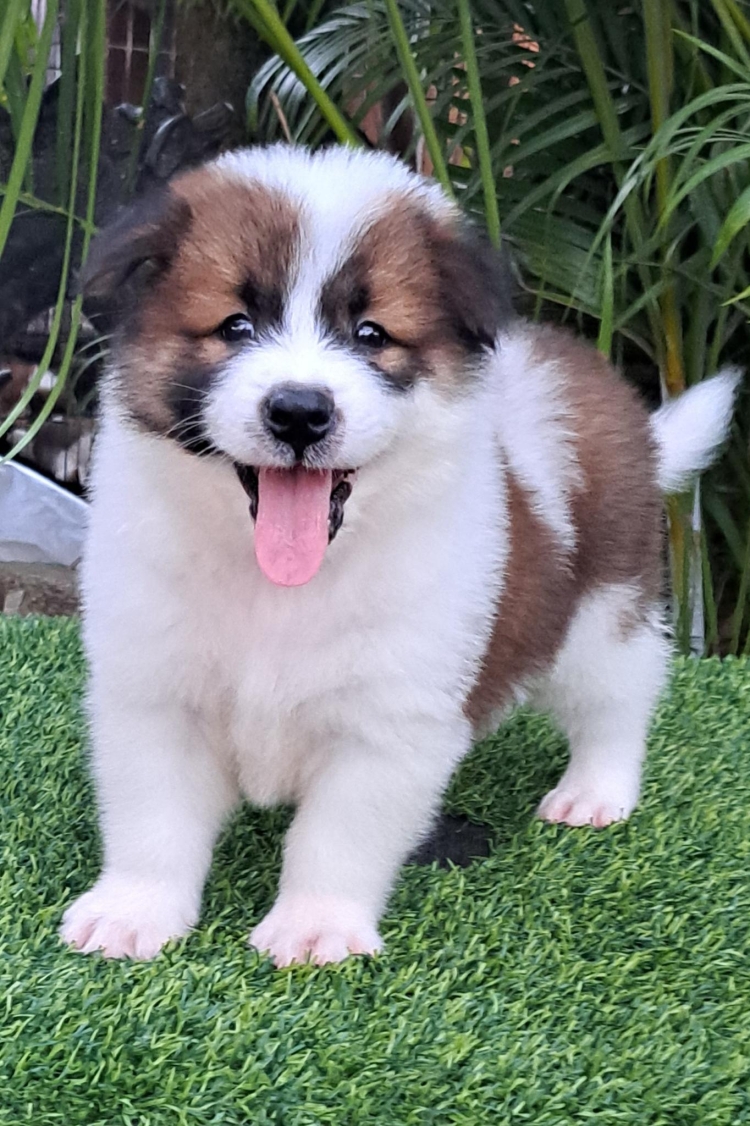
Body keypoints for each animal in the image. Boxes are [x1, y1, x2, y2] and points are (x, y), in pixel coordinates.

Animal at [60, 144, 738, 966]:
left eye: (371, 334)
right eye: (235, 324)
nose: (299, 411)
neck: (280, 586)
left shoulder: (388, 722)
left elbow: (335, 836)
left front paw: (314, 925)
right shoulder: (153, 693)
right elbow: (151, 818)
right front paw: (133, 911)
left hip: (605, 607)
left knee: (620, 695)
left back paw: (596, 790)